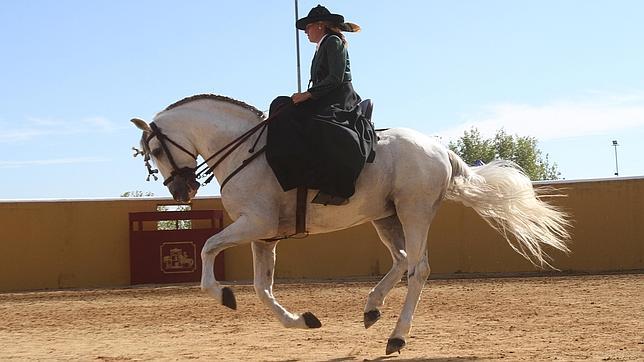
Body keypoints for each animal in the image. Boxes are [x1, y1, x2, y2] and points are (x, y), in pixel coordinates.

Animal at [130, 94, 568, 356]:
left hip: (414, 212)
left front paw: (223, 295)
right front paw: (301, 321)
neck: (245, 151)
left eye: (155, 150)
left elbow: (207, 249)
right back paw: (372, 308)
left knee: (418, 269)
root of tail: (440, 149)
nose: (181, 191)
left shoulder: (254, 224)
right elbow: (262, 287)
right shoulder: (264, 235)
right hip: (385, 217)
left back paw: (397, 336)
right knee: (402, 260)